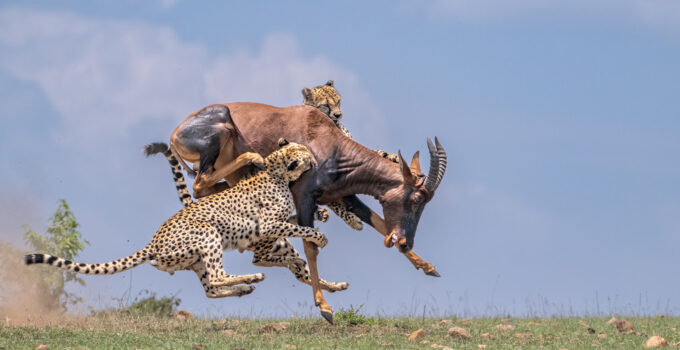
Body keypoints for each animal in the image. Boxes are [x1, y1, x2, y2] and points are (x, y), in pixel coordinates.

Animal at [24, 142, 348, 298]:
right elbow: (298, 226)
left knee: (211, 287)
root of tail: (152, 243)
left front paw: (322, 214)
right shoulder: (268, 226)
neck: (275, 170)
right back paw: (252, 278)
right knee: (219, 276)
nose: (315, 160)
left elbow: (294, 219)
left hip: (194, 260)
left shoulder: (274, 224)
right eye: (306, 155)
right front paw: (319, 236)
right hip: (208, 235)